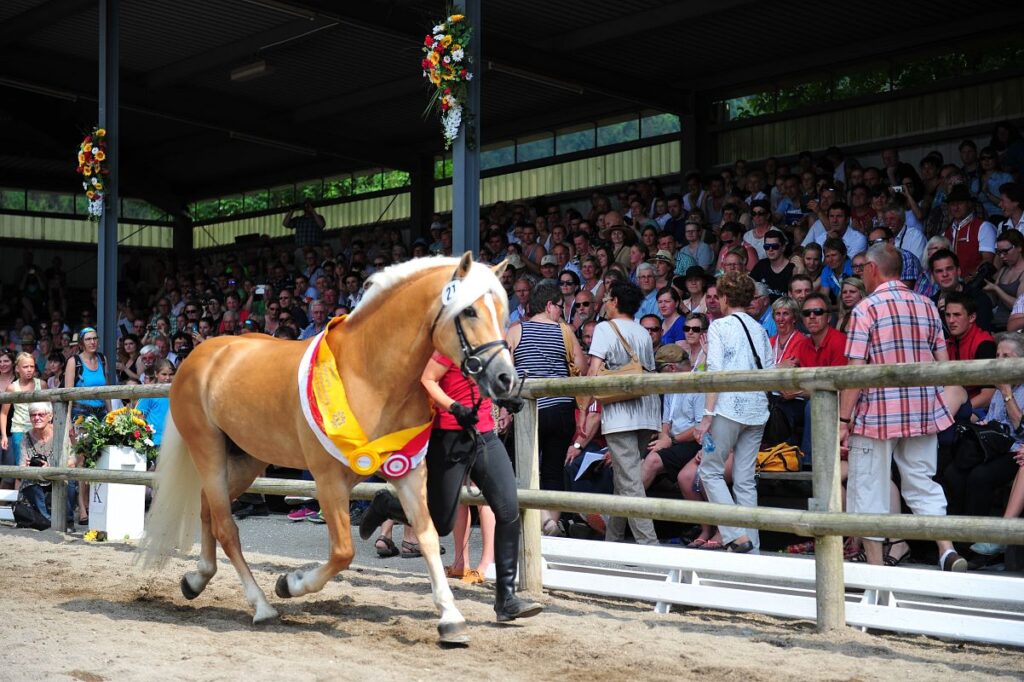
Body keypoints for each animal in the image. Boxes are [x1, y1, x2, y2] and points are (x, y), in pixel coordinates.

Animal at [138, 253, 515, 644]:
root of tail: (201, 354)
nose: (505, 379)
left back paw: (196, 579)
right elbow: (344, 552)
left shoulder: (408, 469)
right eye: (469, 311)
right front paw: (289, 584)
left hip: (247, 459)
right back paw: (261, 606)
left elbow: (426, 536)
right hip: (208, 449)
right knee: (226, 526)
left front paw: (451, 619)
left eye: (502, 312)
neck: (370, 375)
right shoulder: (329, 479)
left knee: (209, 510)